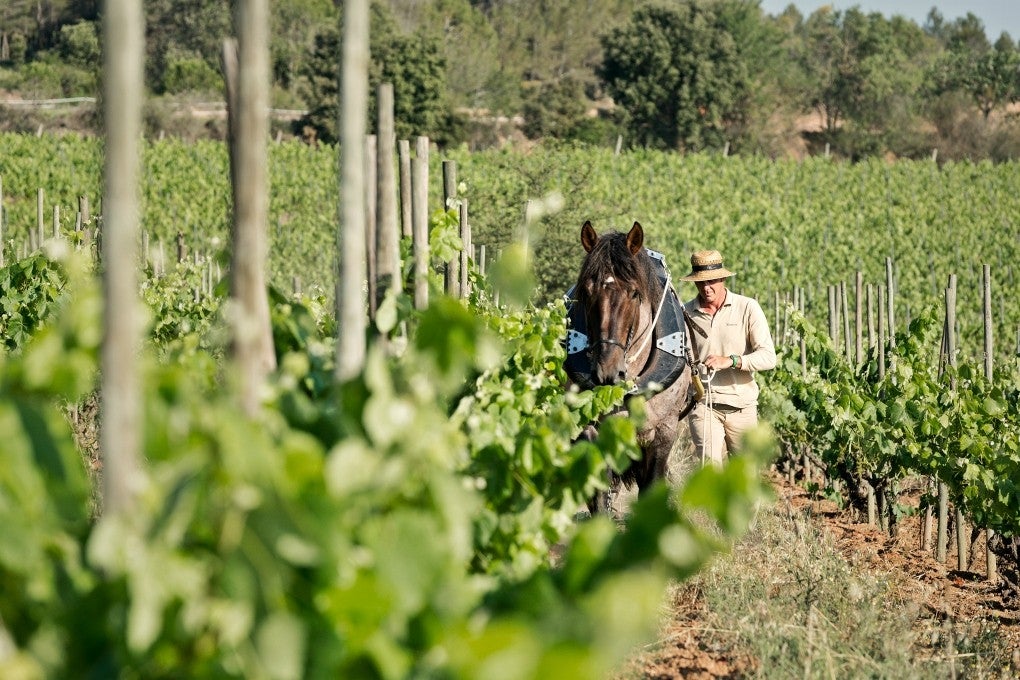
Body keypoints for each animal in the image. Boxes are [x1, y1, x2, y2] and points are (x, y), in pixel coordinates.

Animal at [563, 221, 697, 513]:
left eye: (635, 293)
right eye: (585, 291)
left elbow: (651, 488)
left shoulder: (662, 433)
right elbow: (598, 495)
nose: (607, 372)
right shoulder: (590, 432)